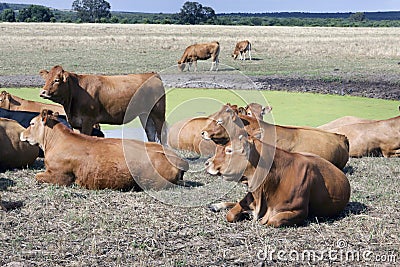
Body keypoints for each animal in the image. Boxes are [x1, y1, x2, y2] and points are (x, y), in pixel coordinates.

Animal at [20, 110, 191, 192]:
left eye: (32, 123)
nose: (22, 133)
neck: (54, 142)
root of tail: (177, 159)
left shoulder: (60, 176)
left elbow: (37, 176)